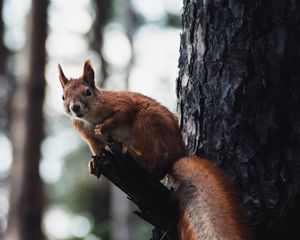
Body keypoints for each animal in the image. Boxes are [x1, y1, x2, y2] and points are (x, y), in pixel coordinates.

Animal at [58, 60, 251, 240]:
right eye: (63, 97)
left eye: (88, 92)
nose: (75, 108)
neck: (89, 118)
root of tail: (178, 155)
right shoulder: (87, 136)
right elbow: (96, 149)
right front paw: (93, 164)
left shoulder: (119, 103)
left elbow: (123, 112)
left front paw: (103, 127)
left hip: (146, 120)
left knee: (154, 163)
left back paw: (134, 154)